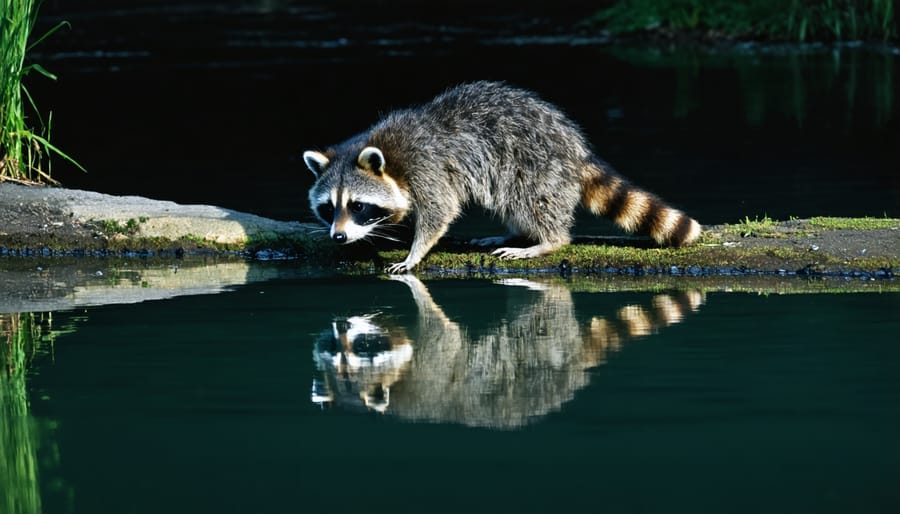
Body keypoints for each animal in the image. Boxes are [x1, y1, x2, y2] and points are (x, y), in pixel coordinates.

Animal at [306, 80, 700, 272]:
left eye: (358, 205)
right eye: (329, 208)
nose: (338, 236)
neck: (389, 158)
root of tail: (576, 148)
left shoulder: (427, 167)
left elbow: (439, 212)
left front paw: (415, 252)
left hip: (536, 165)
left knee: (529, 200)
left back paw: (546, 240)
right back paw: (516, 231)